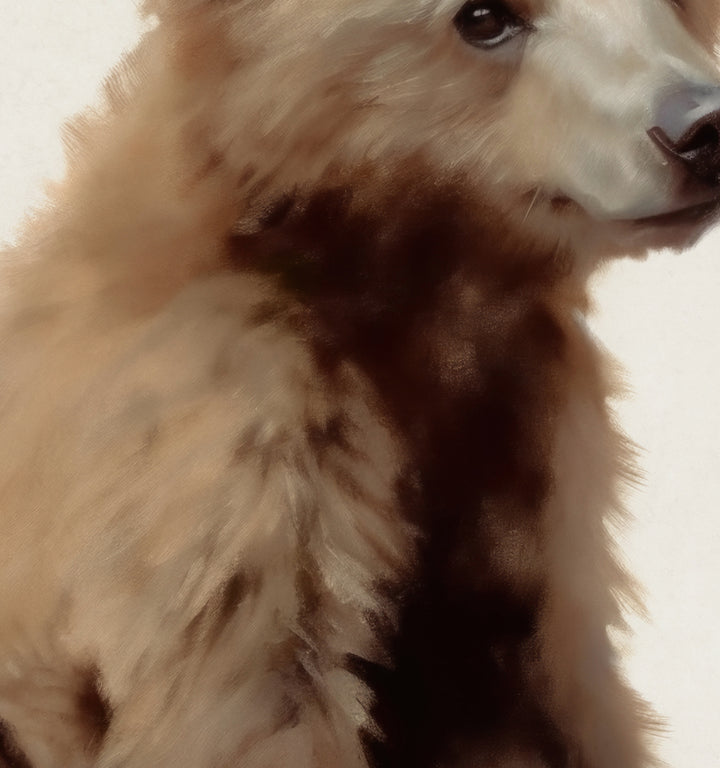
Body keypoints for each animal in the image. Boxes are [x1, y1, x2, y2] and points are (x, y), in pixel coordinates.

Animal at [0, 0, 719, 766]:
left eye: (672, 2)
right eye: (483, 19)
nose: (701, 130)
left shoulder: (524, 447)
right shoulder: (232, 438)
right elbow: (256, 695)